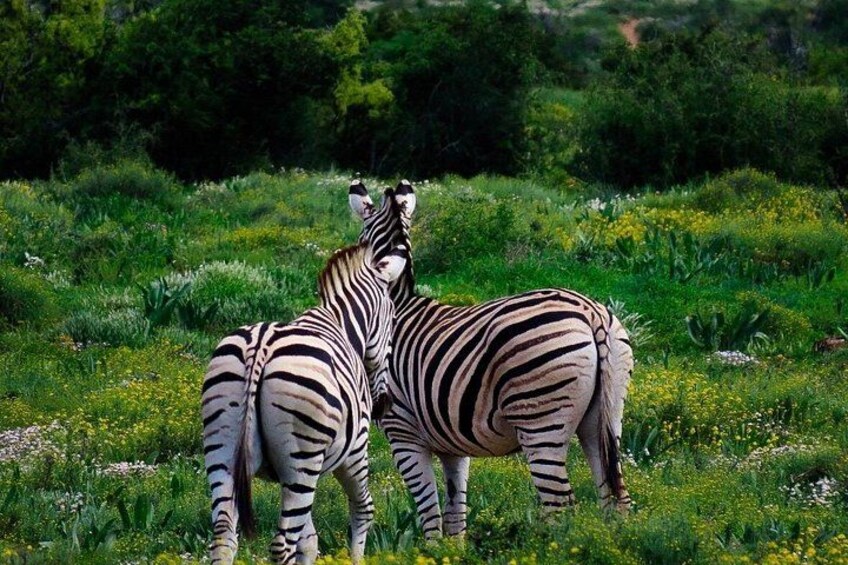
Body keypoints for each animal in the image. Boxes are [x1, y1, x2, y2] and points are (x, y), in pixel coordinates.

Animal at [202, 242, 408, 564]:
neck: (342, 324)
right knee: (281, 543)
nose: (382, 405)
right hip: (303, 458)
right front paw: (356, 558)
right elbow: (363, 510)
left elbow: (308, 540)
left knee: (224, 537)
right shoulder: (354, 450)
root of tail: (261, 345)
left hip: (223, 448)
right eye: (394, 320)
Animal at [350, 179, 633, 540]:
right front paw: (451, 551)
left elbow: (430, 512)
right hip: (605, 417)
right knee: (615, 498)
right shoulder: (453, 443)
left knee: (561, 506)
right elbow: (456, 513)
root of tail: (590, 312)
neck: (396, 306)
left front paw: (430, 548)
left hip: (540, 419)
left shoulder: (402, 432)